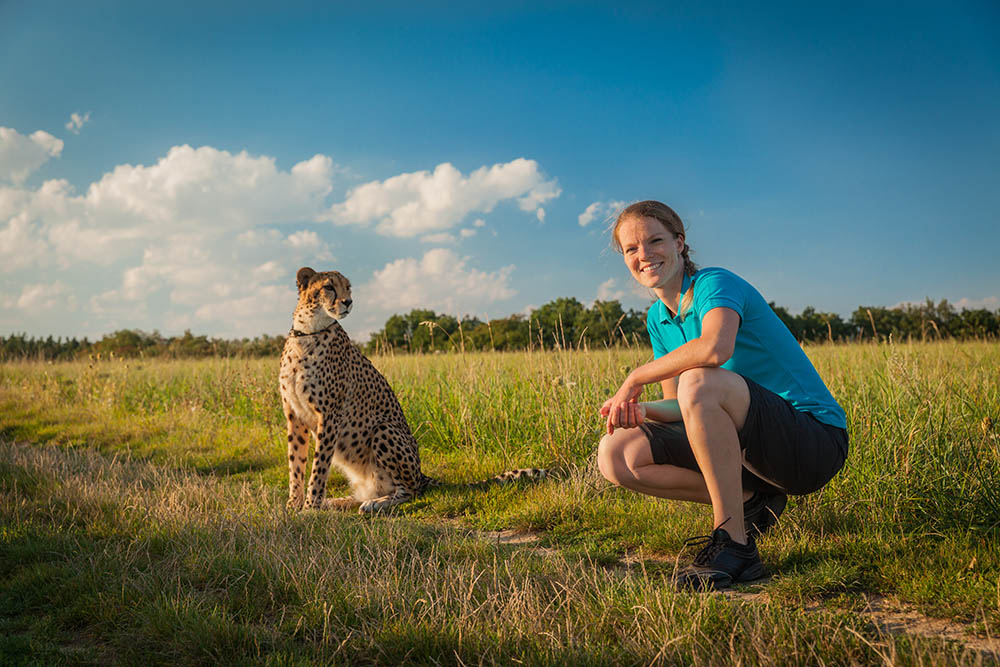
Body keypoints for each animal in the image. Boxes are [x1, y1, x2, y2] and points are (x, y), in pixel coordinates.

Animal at [280, 268, 548, 516]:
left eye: (348, 288)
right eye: (329, 287)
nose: (348, 302)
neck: (307, 332)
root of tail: (421, 473)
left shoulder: (330, 415)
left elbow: (319, 466)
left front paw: (310, 506)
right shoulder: (294, 415)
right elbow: (296, 463)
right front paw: (294, 504)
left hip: (384, 429)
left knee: (410, 490)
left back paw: (375, 504)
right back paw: (338, 501)